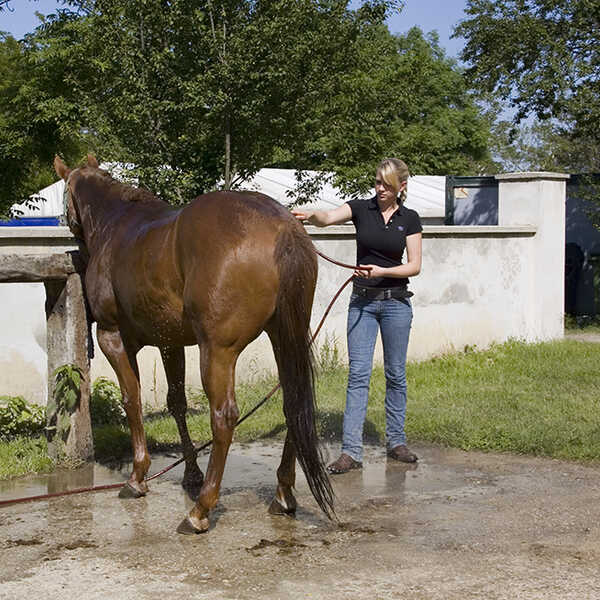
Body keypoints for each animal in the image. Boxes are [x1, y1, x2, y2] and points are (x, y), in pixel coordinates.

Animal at [54, 155, 336, 536]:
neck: (115, 224)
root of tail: (282, 227)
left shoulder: (113, 338)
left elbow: (132, 400)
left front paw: (137, 477)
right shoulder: (169, 343)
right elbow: (177, 403)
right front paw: (190, 473)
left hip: (217, 351)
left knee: (224, 417)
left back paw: (199, 510)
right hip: (285, 337)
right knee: (293, 401)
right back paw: (283, 494)